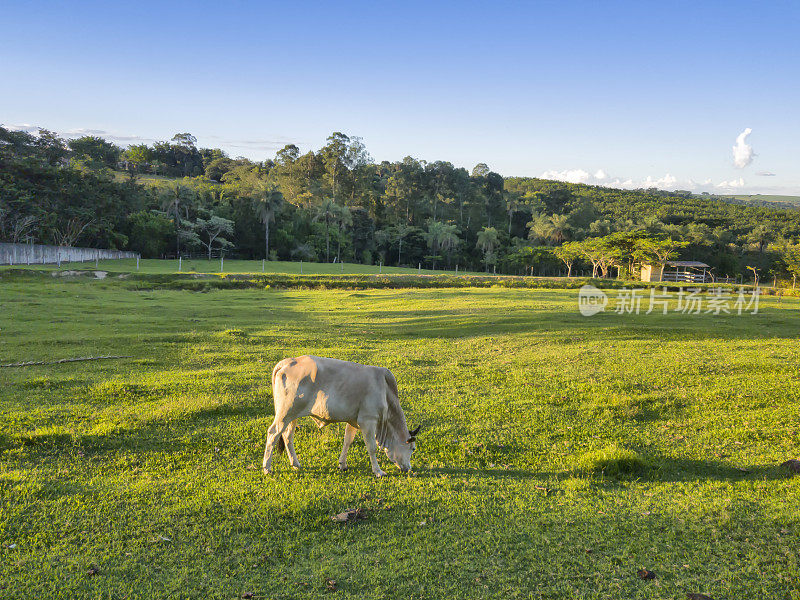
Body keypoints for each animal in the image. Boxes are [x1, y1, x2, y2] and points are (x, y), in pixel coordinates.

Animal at [266, 356, 422, 478]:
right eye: (413, 449)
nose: (409, 469)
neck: (385, 391)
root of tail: (287, 362)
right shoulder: (368, 420)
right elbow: (371, 447)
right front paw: (378, 471)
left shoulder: (354, 421)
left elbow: (347, 441)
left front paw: (342, 464)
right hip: (285, 412)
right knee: (273, 433)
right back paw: (267, 468)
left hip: (293, 415)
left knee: (288, 436)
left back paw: (296, 464)